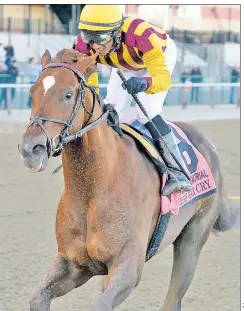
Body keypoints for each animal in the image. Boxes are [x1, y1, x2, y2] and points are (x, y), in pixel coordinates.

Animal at [18, 48, 238, 311]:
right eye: (32, 92)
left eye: (68, 94)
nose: (31, 149)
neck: (95, 190)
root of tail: (208, 145)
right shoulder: (73, 264)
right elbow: (38, 297)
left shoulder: (128, 266)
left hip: (193, 239)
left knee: (174, 296)